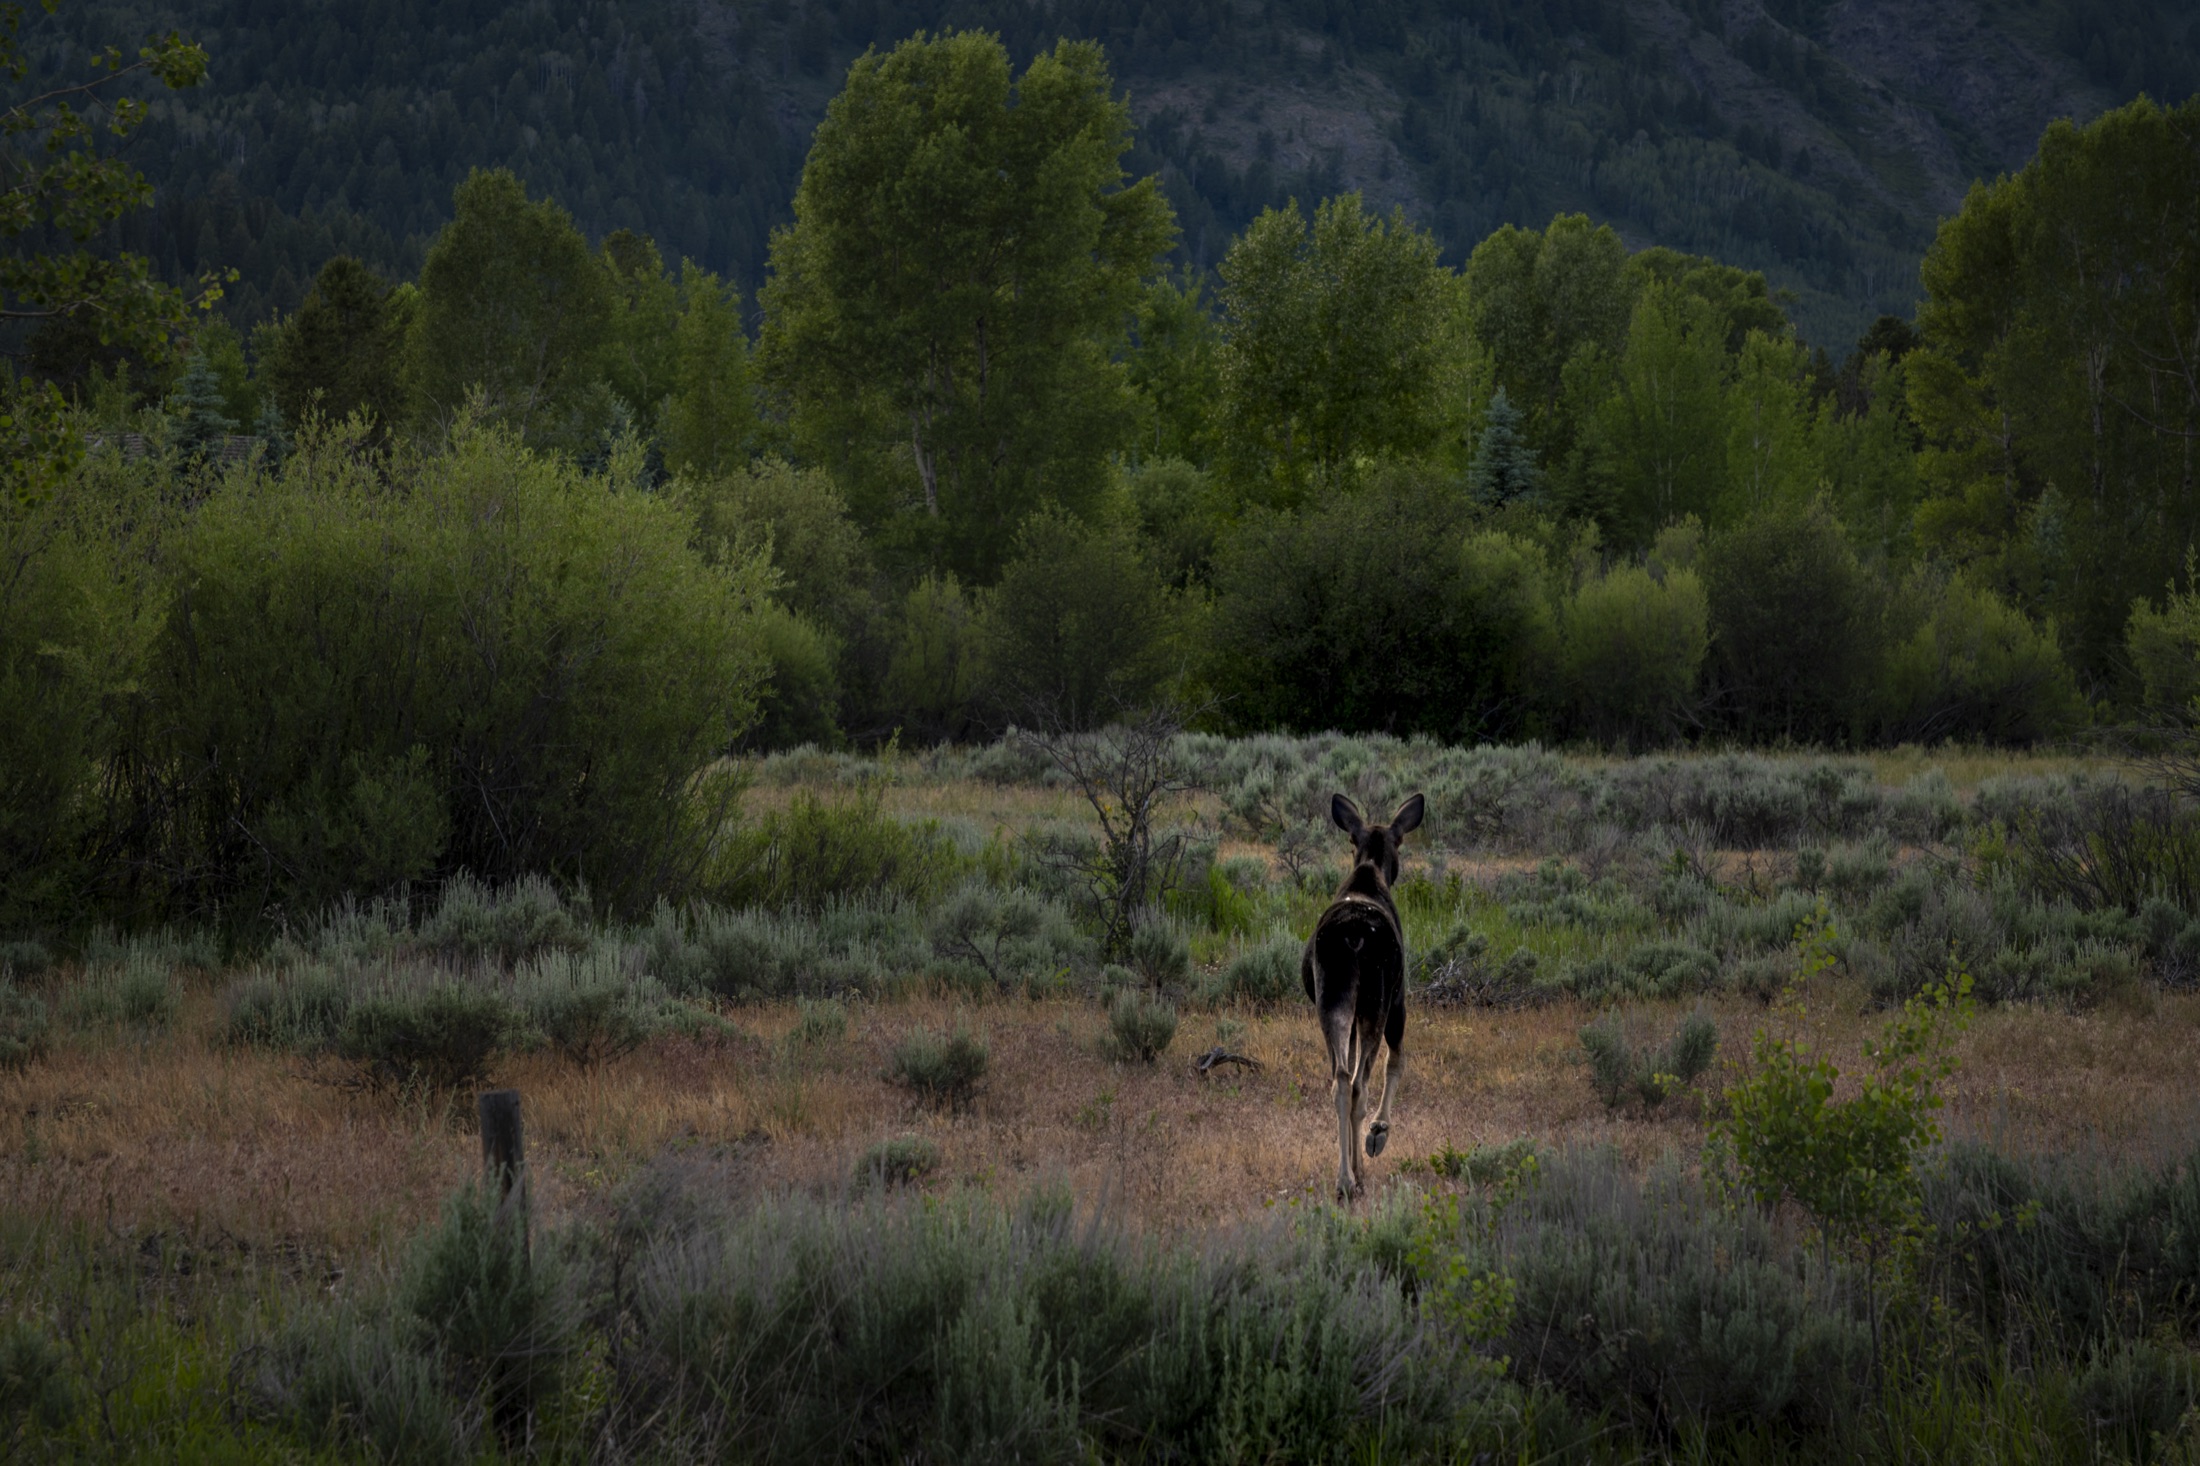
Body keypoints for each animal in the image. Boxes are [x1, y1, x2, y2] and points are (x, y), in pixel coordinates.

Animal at [1302, 791, 1423, 1201]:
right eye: (1400, 842)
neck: (1371, 871)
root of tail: (1354, 937)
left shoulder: (1350, 1015)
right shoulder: (1400, 1000)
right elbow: (1397, 1061)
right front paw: (1378, 1133)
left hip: (1333, 999)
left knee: (1341, 1078)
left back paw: (1345, 1179)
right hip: (1377, 1001)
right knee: (1359, 1082)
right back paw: (1356, 1172)